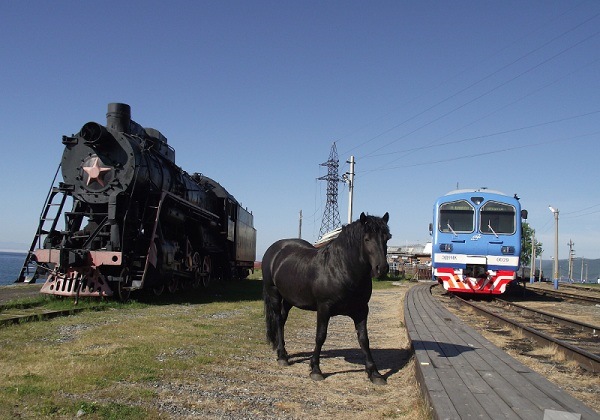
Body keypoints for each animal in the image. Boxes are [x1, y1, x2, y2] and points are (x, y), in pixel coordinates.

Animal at [262, 213, 392, 384]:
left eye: (387, 238)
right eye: (366, 239)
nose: (381, 268)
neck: (341, 268)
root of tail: (274, 250)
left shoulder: (362, 310)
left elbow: (364, 339)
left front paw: (375, 373)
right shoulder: (324, 308)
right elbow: (320, 336)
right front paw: (316, 369)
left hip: (289, 299)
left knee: (282, 321)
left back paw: (281, 351)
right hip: (274, 293)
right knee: (278, 320)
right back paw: (283, 356)